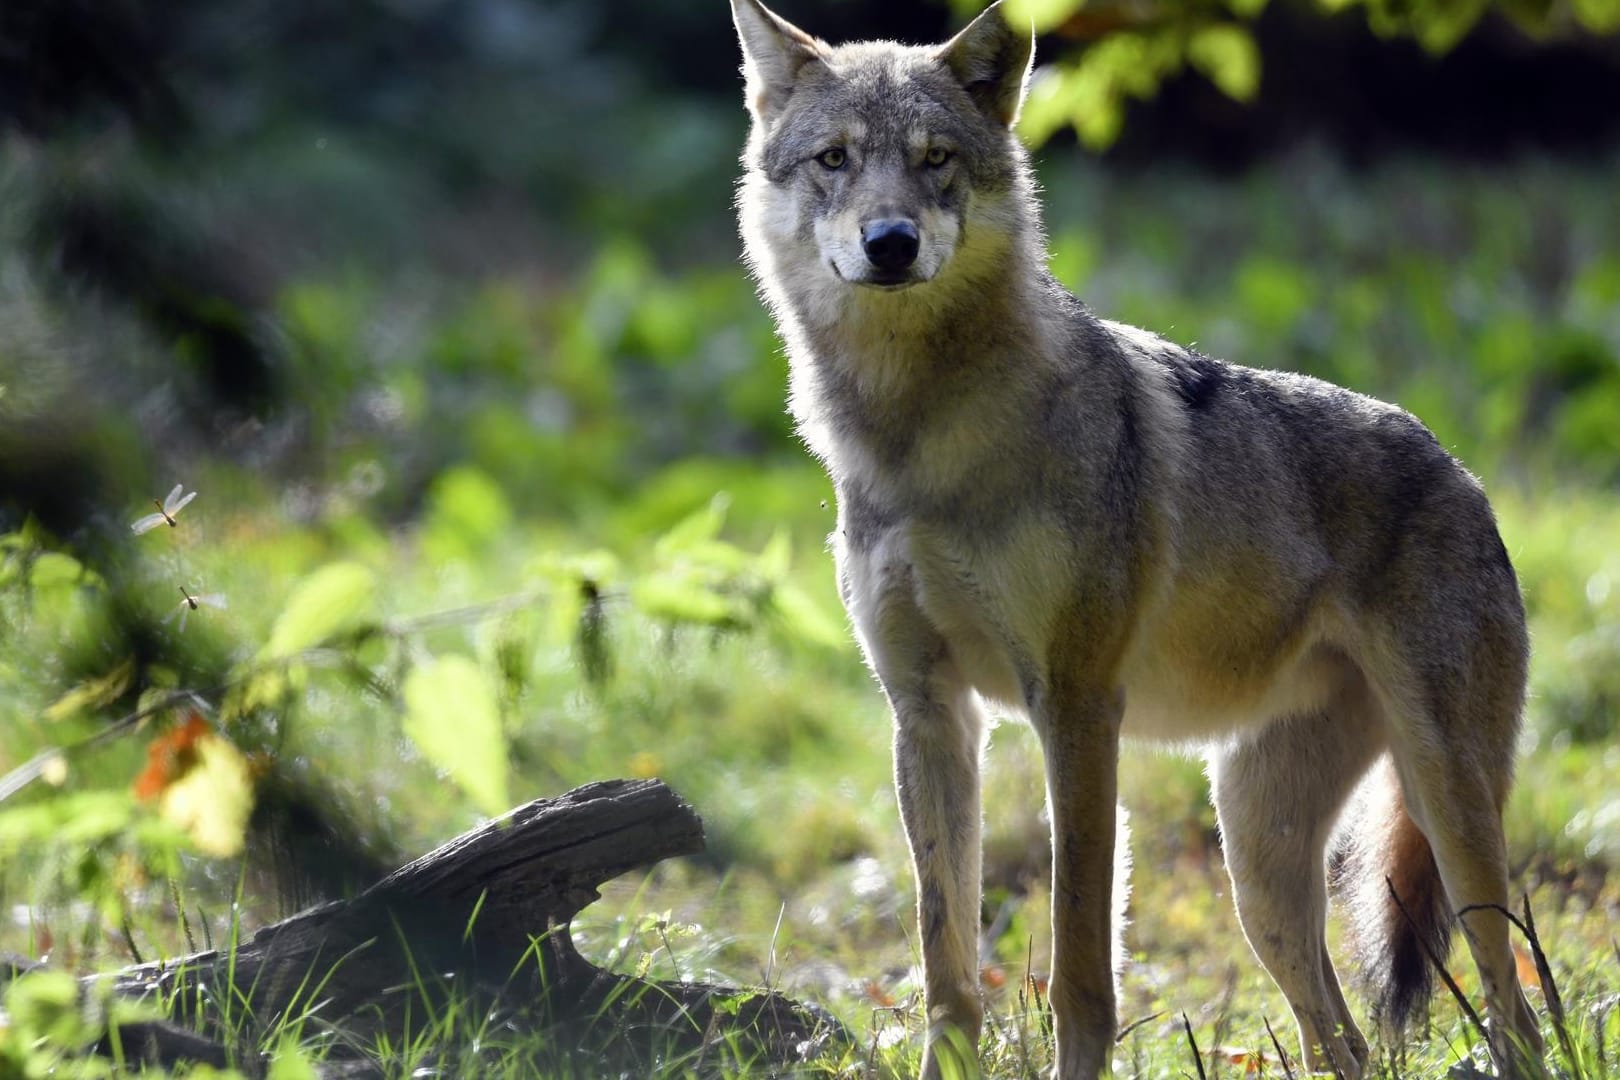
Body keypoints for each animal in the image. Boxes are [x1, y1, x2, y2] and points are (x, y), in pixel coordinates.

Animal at [732, 4, 1542, 1075]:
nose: (892, 242)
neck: (918, 440)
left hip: (1449, 818)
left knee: (1516, 1007)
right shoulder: (929, 713)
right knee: (1346, 1038)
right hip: (1259, 876)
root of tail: (1465, 473)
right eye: (835, 159)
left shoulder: (1077, 708)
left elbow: (1081, 960)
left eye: (935, 160)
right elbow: (945, 955)